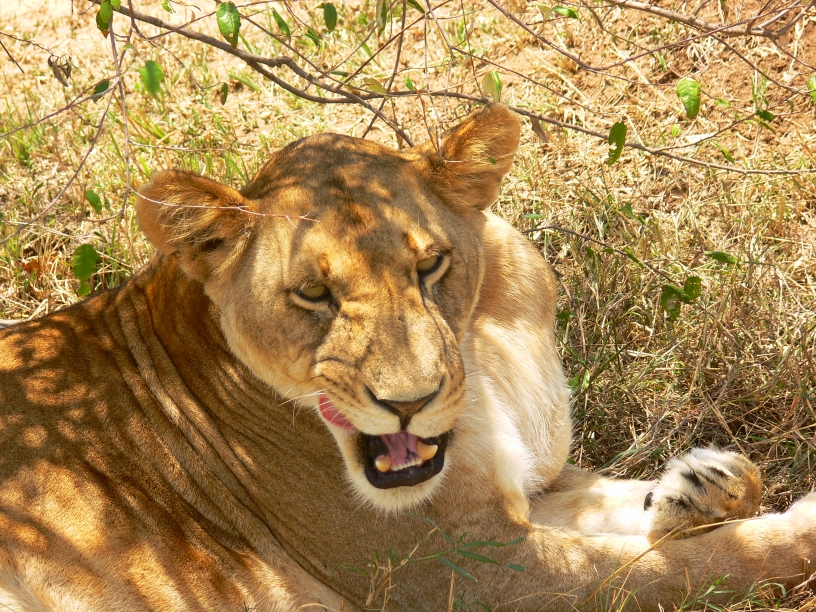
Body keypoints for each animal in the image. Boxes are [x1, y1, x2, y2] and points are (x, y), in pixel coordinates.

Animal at [0, 104, 814, 612]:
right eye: (313, 293)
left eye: (430, 265)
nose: (409, 403)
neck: (484, 352)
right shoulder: (460, 575)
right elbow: (694, 569)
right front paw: (789, 528)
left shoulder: (519, 496)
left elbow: (652, 510)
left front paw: (701, 488)